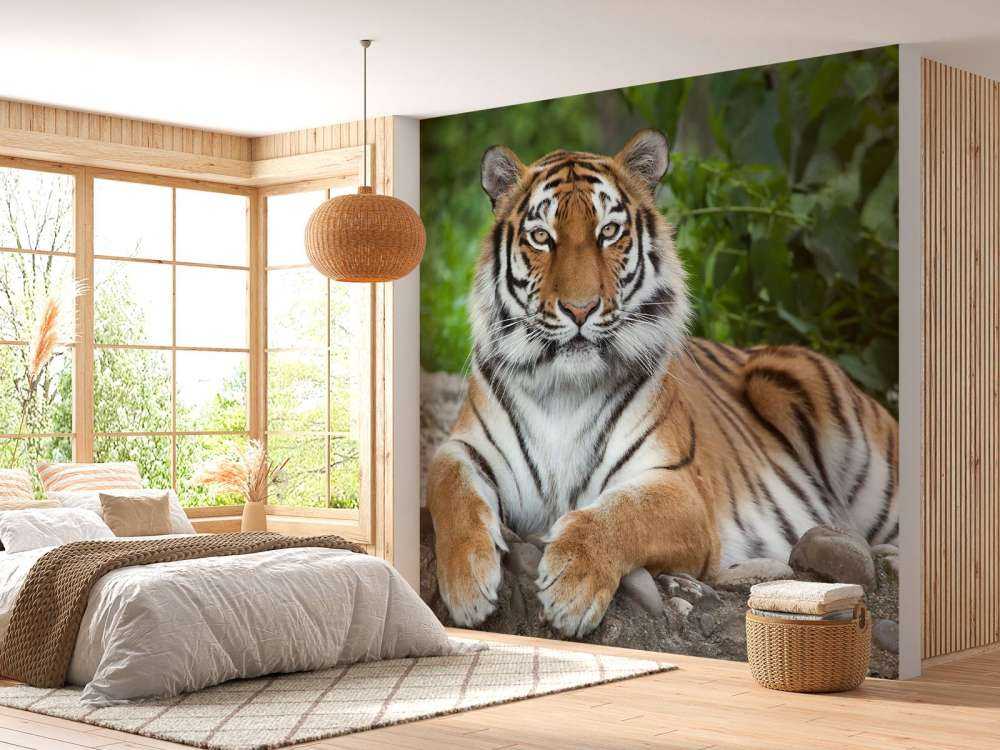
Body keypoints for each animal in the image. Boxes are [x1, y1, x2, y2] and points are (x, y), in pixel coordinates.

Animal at [426, 129, 898, 638]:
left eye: (608, 232)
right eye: (541, 237)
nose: (579, 309)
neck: (563, 389)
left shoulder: (681, 490)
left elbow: (620, 514)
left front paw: (571, 589)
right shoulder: (463, 447)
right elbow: (449, 488)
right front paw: (467, 587)